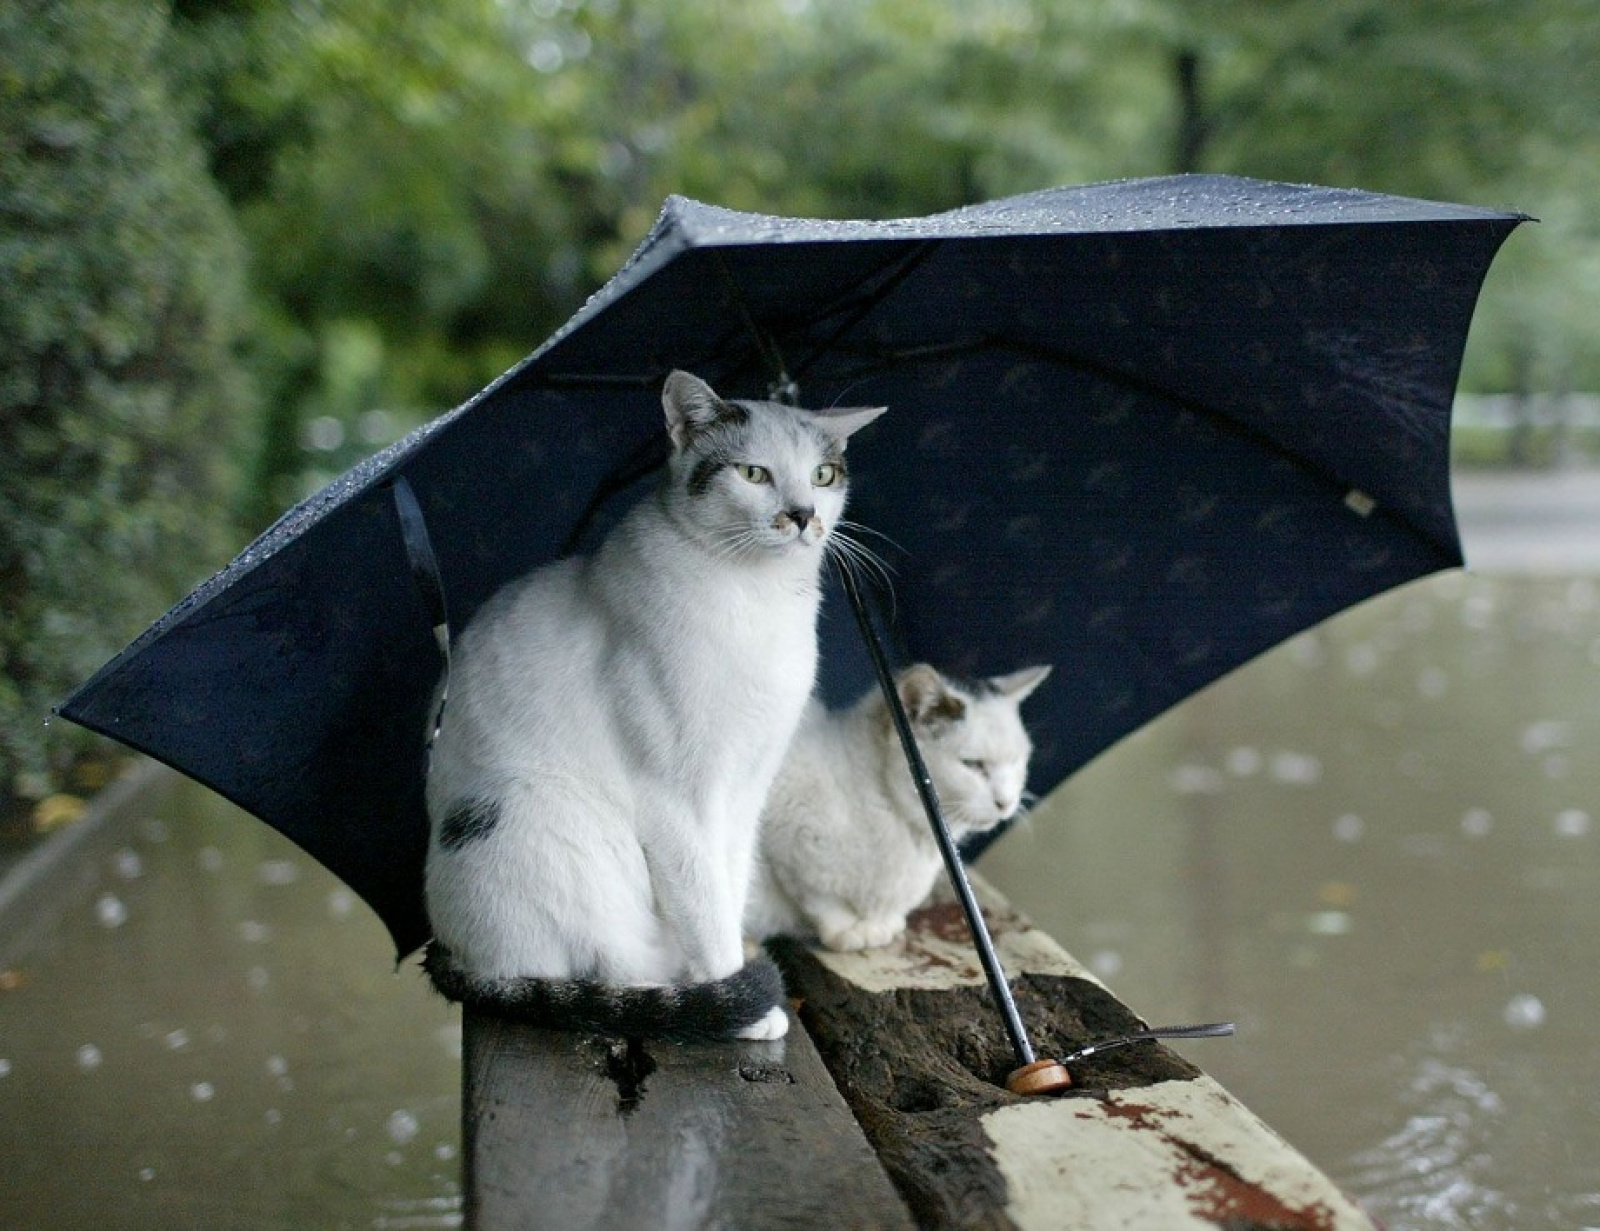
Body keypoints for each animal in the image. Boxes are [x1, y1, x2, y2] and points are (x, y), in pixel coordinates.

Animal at [419, 371, 883, 1037]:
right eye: (754, 473)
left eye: (822, 475)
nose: (803, 515)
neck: (759, 597)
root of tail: (454, 951)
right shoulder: (675, 801)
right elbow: (704, 904)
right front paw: (741, 1003)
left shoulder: (747, 789)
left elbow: (729, 888)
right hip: (552, 819)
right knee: (599, 970)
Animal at [745, 665, 1049, 947]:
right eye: (972, 765)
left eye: (1017, 760)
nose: (1006, 802)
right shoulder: (784, 836)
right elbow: (819, 898)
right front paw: (847, 930)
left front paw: (880, 925)